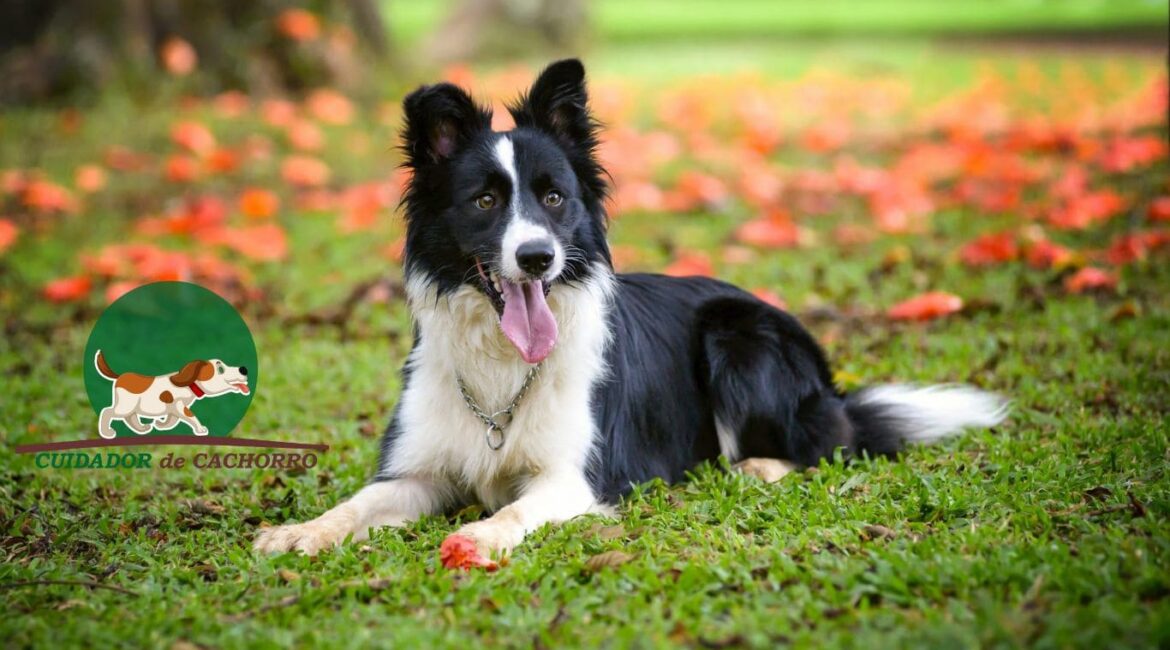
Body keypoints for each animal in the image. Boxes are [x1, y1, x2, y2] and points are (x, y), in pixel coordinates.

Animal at [256, 58, 1006, 561]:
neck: (502, 368)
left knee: (828, 444)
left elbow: (515, 511)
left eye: (554, 197)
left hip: (739, 337)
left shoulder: (577, 476)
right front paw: (297, 532)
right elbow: (356, 503)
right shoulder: (416, 472)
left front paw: (480, 536)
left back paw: (757, 467)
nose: (537, 259)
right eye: (485, 201)